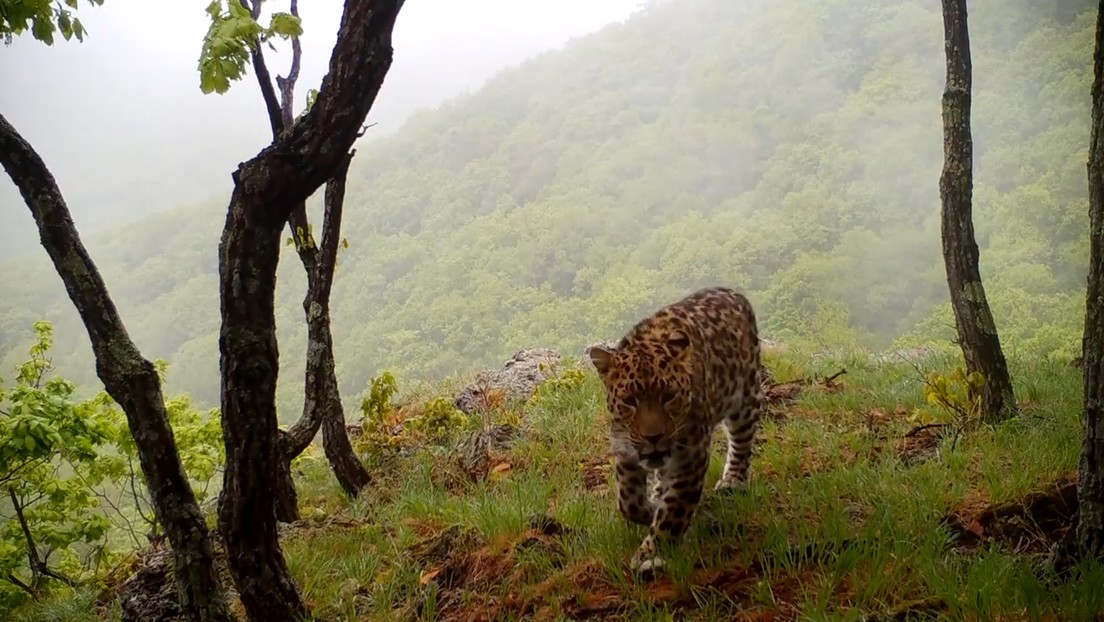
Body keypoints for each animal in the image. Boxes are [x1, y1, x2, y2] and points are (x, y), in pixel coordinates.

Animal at [587, 285, 764, 573]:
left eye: (669, 396)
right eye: (630, 401)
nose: (654, 437)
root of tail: (732, 291)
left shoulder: (690, 456)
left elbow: (674, 511)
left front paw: (651, 555)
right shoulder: (625, 449)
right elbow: (629, 502)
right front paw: (650, 510)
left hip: (746, 397)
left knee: (742, 440)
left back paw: (732, 481)